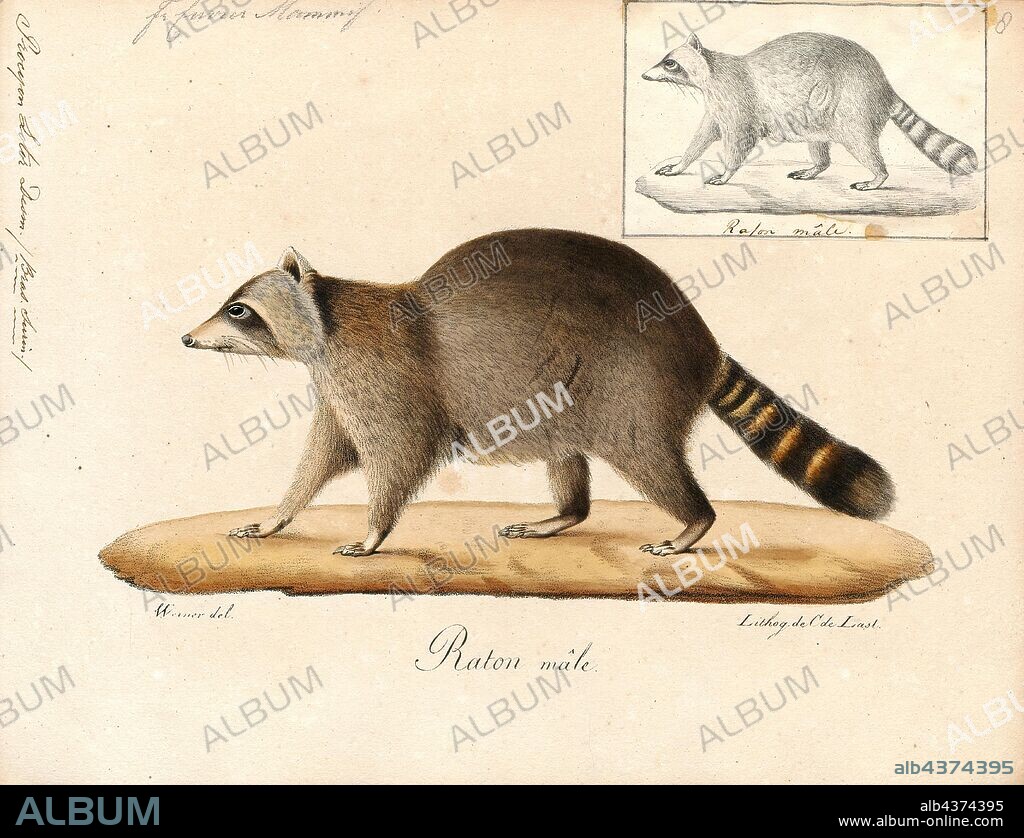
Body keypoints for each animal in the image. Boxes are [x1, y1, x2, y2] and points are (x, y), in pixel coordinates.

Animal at [182, 229, 894, 557]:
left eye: (238, 310)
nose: (188, 339)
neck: (330, 319)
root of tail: (701, 339)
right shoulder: (337, 387)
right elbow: (323, 457)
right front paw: (279, 516)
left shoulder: (382, 376)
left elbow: (398, 456)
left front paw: (375, 531)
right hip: (568, 398)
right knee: (567, 459)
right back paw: (564, 514)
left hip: (632, 381)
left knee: (645, 455)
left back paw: (694, 521)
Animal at [642, 32, 978, 189]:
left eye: (670, 63)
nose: (644, 75)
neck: (710, 72)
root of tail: (883, 85)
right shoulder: (718, 104)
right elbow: (702, 135)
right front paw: (681, 164)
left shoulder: (737, 98)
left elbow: (740, 138)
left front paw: (726, 173)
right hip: (817, 116)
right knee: (820, 147)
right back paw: (816, 167)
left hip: (852, 104)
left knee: (862, 143)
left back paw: (878, 176)